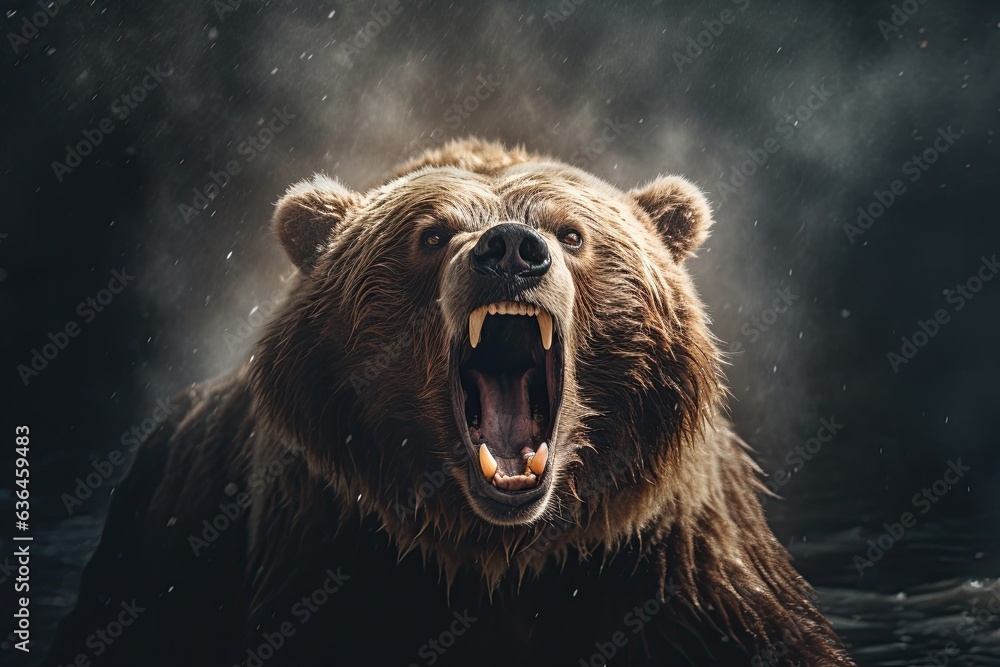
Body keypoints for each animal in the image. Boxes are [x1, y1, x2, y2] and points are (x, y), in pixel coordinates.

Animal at [46, 138, 854, 666]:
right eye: (431, 234)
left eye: (572, 232)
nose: (511, 248)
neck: (497, 548)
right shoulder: (323, 546)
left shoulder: (675, 562)